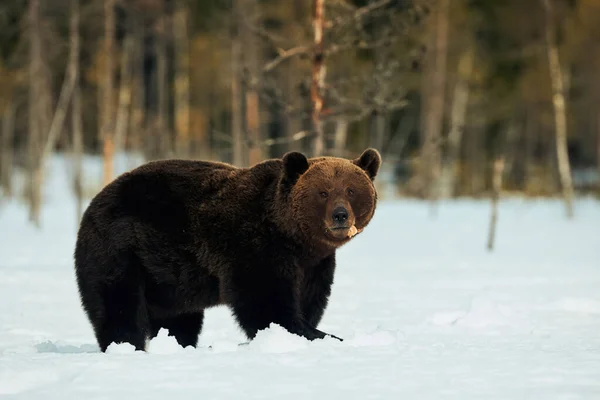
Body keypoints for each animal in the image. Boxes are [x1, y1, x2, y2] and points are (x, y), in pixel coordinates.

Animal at [74, 148, 380, 352]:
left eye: (351, 190)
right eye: (323, 192)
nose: (340, 215)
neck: (293, 238)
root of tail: (93, 203)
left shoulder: (315, 264)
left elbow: (309, 298)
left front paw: (311, 327)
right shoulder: (253, 246)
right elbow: (265, 301)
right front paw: (315, 334)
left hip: (166, 277)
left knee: (178, 318)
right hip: (121, 250)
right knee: (118, 304)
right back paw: (128, 345)